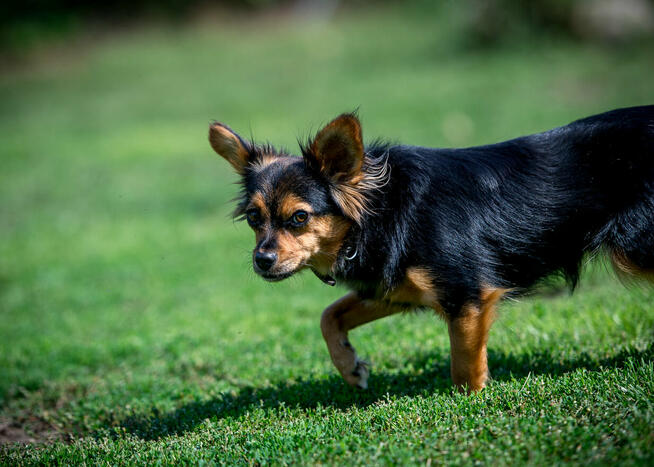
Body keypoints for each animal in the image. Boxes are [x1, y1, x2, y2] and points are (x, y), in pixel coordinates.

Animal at [210, 108, 654, 394]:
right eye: (254, 218)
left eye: (299, 217)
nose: (261, 260)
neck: (381, 211)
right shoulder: (396, 288)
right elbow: (329, 315)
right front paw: (350, 367)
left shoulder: (466, 296)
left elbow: (464, 364)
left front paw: (471, 403)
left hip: (636, 247)